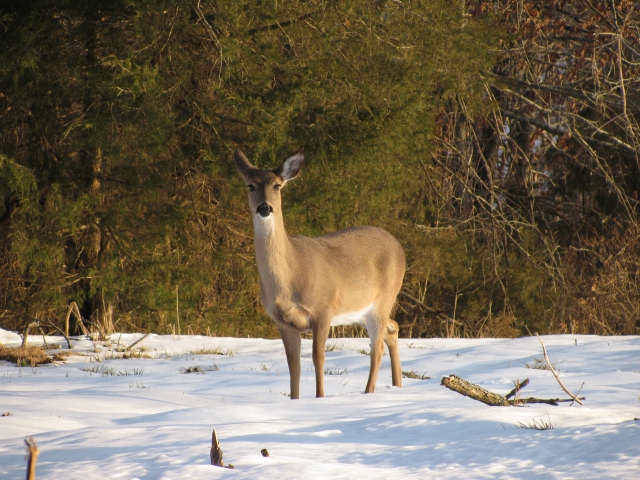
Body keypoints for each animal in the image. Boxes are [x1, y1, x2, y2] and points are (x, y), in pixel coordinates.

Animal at [234, 150, 405, 399]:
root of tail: (399, 246)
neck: (290, 275)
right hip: (363, 310)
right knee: (392, 328)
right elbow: (293, 364)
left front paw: (320, 397)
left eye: (277, 186)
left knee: (377, 348)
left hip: (384, 298)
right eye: (250, 186)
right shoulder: (282, 321)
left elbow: (318, 357)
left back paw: (368, 391)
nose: (265, 208)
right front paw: (295, 399)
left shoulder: (323, 309)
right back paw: (397, 385)